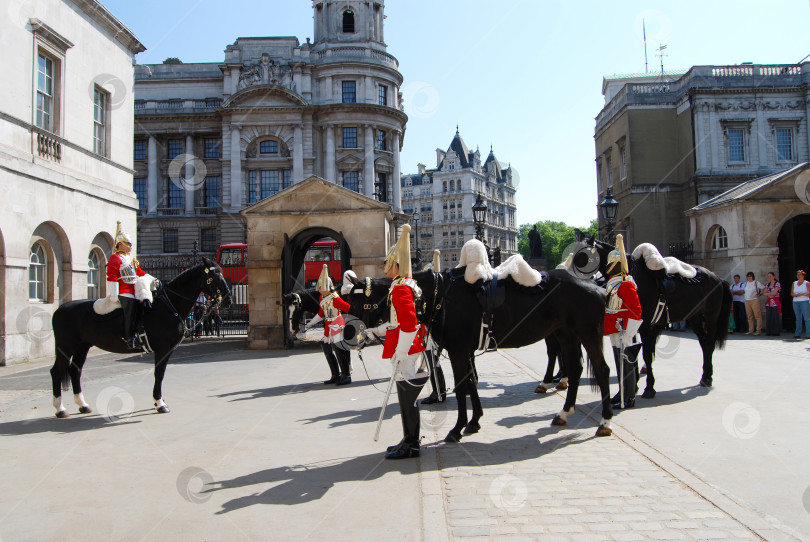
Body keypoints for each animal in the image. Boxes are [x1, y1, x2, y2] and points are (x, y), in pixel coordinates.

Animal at [49, 260, 230, 420]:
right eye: (214, 277)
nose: (228, 300)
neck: (169, 305)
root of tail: (60, 309)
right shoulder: (163, 349)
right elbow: (159, 373)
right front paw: (159, 403)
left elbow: (160, 374)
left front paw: (159, 401)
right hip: (65, 347)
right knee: (57, 372)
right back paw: (60, 409)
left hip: (82, 346)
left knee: (75, 371)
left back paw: (83, 405)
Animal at [340, 266, 612, 442]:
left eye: (356, 302)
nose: (346, 334)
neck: (440, 296)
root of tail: (595, 285)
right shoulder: (466, 351)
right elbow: (471, 382)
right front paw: (474, 421)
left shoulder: (458, 351)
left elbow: (462, 387)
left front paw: (457, 428)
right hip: (565, 334)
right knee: (575, 369)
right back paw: (564, 413)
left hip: (587, 334)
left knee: (601, 370)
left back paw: (604, 422)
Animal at [572, 232, 728, 398]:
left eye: (582, 255)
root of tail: (717, 277)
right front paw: (632, 387)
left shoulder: (645, 325)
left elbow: (646, 353)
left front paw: (649, 387)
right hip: (695, 317)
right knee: (704, 343)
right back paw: (705, 375)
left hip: (711, 317)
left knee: (709, 343)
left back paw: (707, 378)